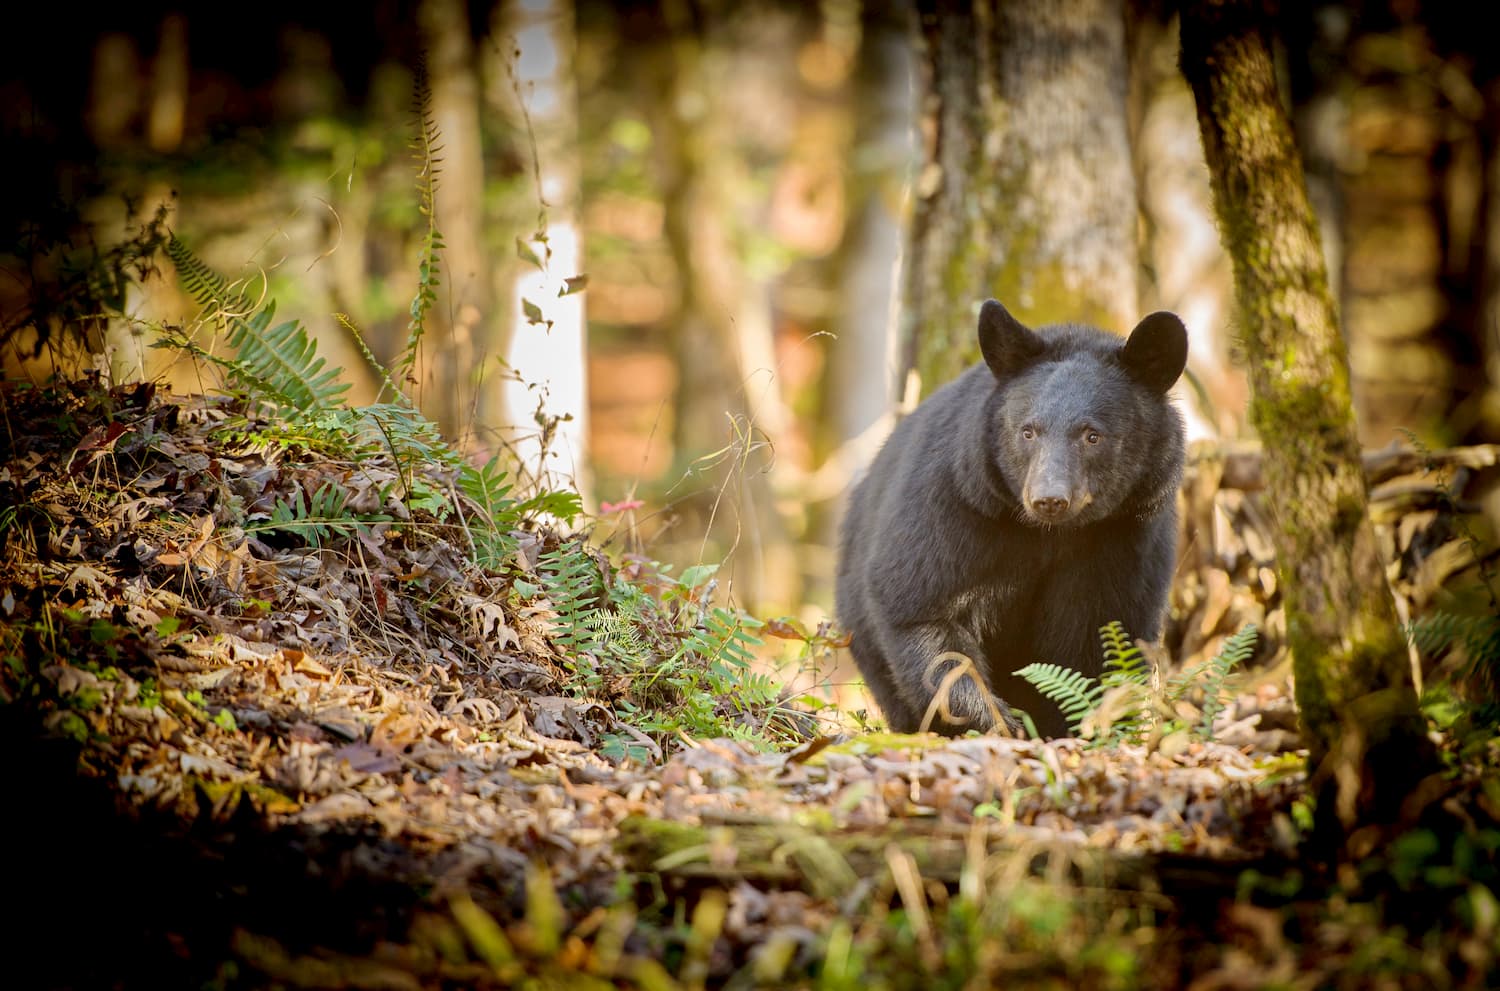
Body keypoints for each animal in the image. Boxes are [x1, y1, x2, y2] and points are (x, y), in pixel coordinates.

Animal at [836, 299, 1187, 738]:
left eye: (1092, 435)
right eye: (1028, 431)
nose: (1049, 499)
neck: (1050, 533)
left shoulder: (1125, 536)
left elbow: (1098, 635)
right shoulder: (954, 503)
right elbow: (921, 608)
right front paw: (998, 721)